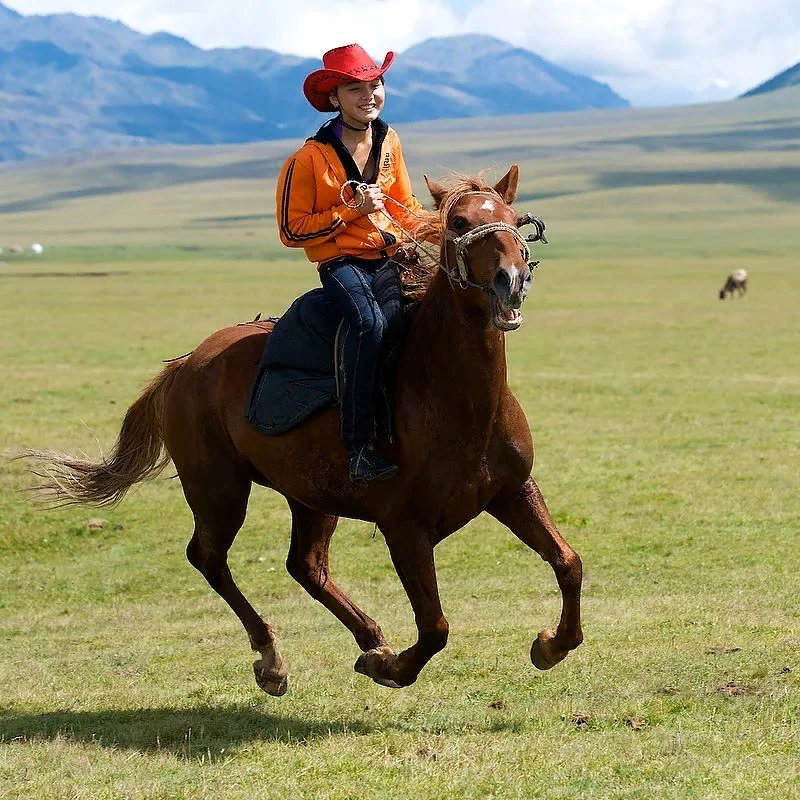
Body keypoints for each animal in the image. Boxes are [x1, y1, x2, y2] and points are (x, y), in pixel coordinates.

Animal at [25, 164, 584, 692]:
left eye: (516, 221)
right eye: (459, 223)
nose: (511, 280)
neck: (452, 397)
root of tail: (184, 365)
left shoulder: (512, 490)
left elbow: (568, 563)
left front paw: (550, 645)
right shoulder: (404, 528)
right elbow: (435, 627)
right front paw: (391, 669)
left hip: (310, 496)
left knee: (305, 565)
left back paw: (368, 637)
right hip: (218, 490)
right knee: (209, 558)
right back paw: (272, 659)